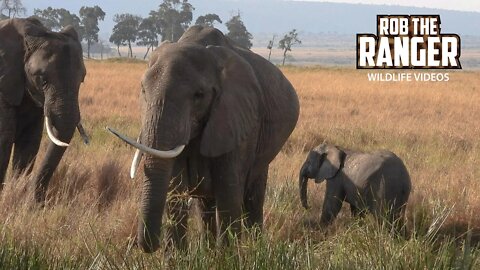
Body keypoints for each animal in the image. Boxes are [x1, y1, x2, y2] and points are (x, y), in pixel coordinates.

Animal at [108, 25, 300, 253]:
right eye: (143, 90)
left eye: (198, 95)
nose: (150, 247)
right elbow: (176, 189)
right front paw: (177, 257)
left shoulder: (238, 118)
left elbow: (228, 194)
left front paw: (228, 256)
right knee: (205, 204)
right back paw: (207, 249)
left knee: (253, 196)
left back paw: (254, 246)